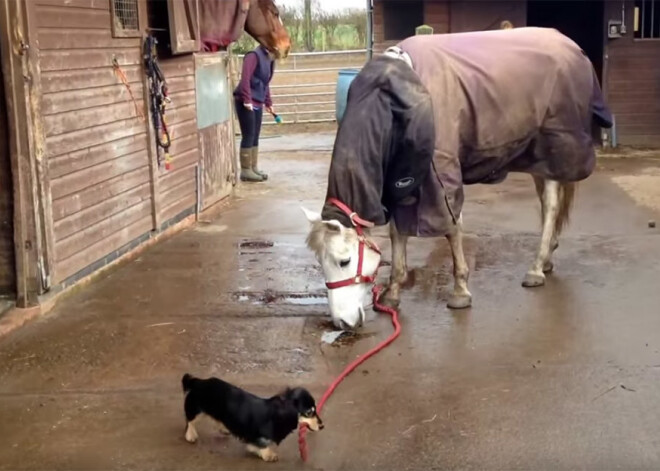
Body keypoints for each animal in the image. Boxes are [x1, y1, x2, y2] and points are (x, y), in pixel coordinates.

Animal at [182, 374, 324, 462]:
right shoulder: (255, 435)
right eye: (309, 412)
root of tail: (199, 381)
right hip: (196, 410)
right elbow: (262, 444)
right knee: (190, 420)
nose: (322, 426)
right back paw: (191, 435)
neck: (277, 414)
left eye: (315, 409)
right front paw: (269, 455)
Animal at [304, 27, 612, 330]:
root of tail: (572, 47)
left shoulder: (441, 176)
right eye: (320, 262)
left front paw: (460, 291)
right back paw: (546, 259)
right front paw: (392, 294)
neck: (396, 101)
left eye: (344, 261)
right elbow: (397, 233)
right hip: (538, 159)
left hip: (555, 149)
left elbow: (451, 228)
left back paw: (536, 269)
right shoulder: (401, 182)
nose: (342, 323)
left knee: (550, 206)